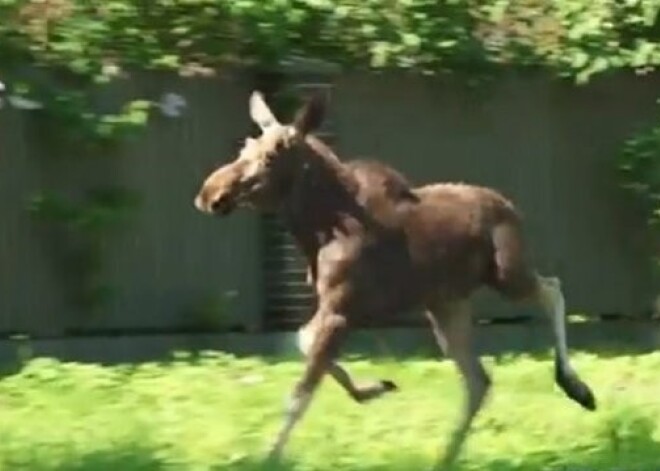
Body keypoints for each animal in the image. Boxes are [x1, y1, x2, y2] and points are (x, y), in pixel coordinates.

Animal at [192, 91, 600, 468]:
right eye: (245, 147)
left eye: (271, 156)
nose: (210, 193)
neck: (317, 229)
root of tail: (512, 209)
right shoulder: (336, 307)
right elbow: (302, 342)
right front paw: (375, 387)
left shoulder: (342, 308)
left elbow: (299, 393)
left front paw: (269, 457)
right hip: (446, 305)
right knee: (478, 380)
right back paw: (445, 457)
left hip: (506, 276)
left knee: (552, 289)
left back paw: (576, 386)